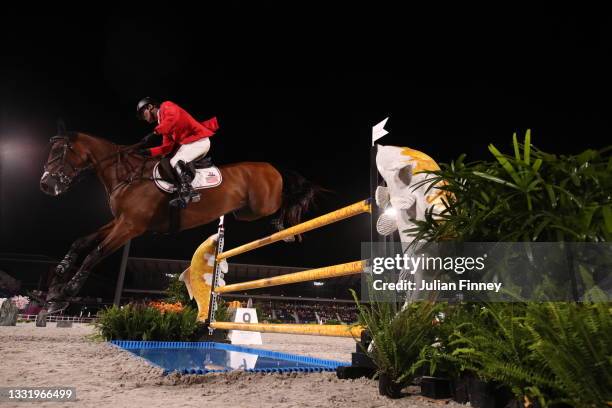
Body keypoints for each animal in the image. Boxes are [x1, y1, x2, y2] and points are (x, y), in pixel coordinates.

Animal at [38, 124, 318, 312]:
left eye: (59, 151)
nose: (46, 185)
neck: (127, 176)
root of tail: (271, 167)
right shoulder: (120, 221)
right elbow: (82, 241)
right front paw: (57, 279)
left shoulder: (130, 226)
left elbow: (95, 253)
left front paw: (63, 296)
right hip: (245, 212)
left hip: (262, 205)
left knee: (287, 199)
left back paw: (287, 226)